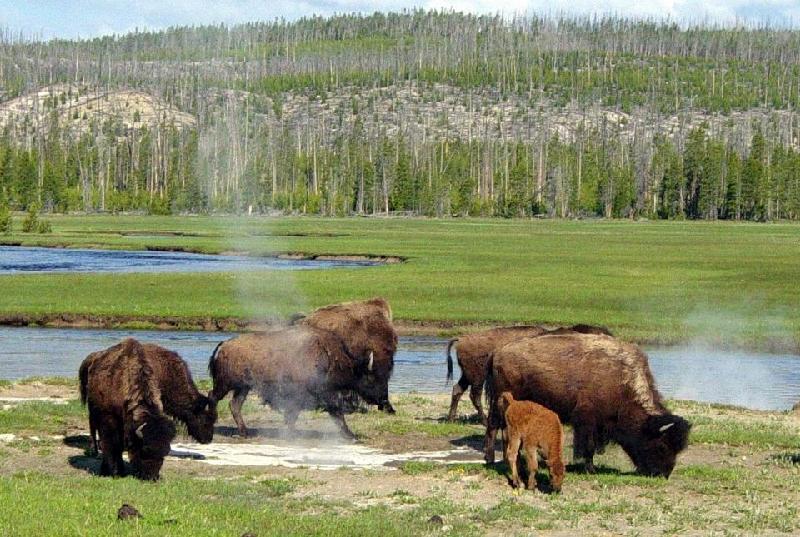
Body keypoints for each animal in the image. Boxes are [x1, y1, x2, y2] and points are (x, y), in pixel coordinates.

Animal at [77, 338, 177, 480]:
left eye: (166, 452)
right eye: (144, 450)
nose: (151, 477)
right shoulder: (109, 420)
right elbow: (112, 445)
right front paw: (114, 472)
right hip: (92, 410)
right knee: (93, 428)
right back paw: (93, 451)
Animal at [209, 324, 384, 438]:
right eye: (370, 377)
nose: (382, 399)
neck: (328, 356)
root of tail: (224, 345)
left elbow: (295, 415)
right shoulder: (319, 395)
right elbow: (336, 413)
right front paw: (351, 435)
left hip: (243, 388)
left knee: (234, 405)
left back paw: (245, 433)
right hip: (226, 384)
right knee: (213, 397)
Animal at [444, 322, 612, 422]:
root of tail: (462, 339)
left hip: (468, 375)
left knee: (458, 390)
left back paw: (451, 418)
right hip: (477, 377)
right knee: (474, 395)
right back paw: (484, 421)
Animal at [484, 330, 692, 478]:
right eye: (662, 446)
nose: (663, 474)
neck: (622, 382)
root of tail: (497, 353)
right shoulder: (587, 420)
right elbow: (588, 445)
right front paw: (590, 468)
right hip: (502, 403)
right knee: (496, 428)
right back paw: (494, 459)